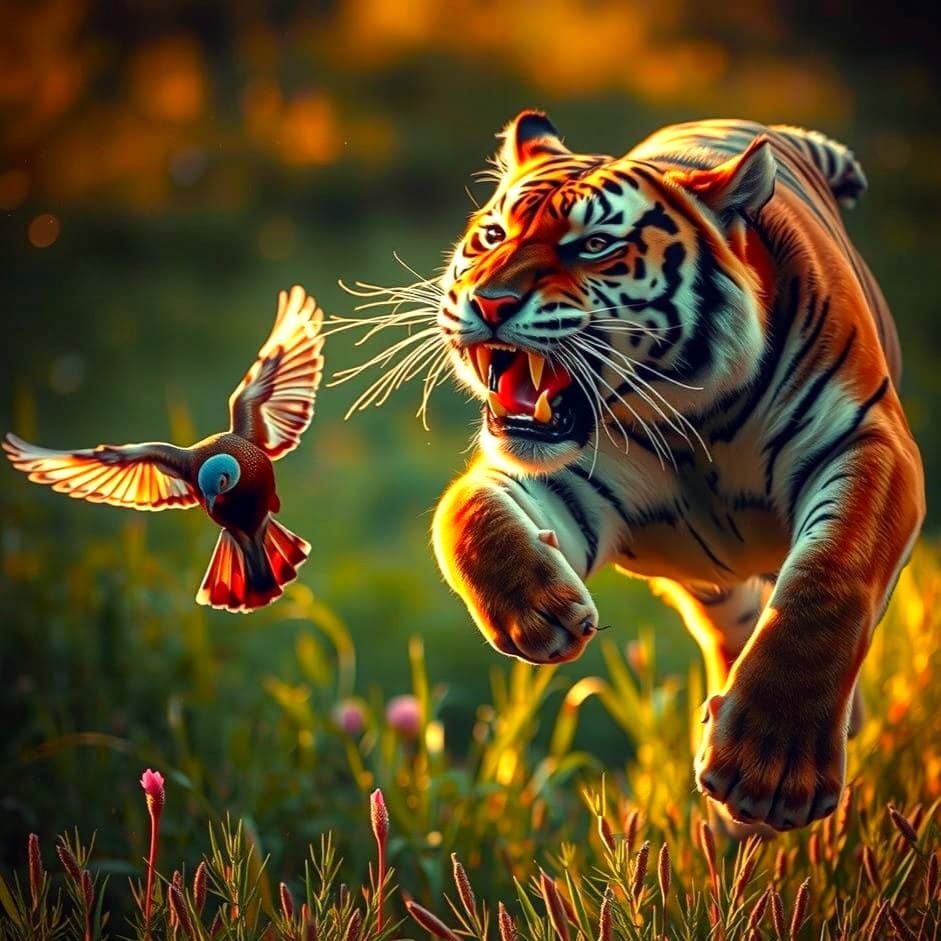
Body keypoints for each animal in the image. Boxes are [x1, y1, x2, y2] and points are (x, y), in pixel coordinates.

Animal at [428, 111, 925, 832]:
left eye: (594, 245)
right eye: (492, 236)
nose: (487, 301)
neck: (696, 424)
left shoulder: (866, 439)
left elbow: (827, 584)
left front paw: (771, 770)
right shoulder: (573, 481)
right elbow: (462, 511)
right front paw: (538, 611)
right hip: (712, 588)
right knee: (733, 631)